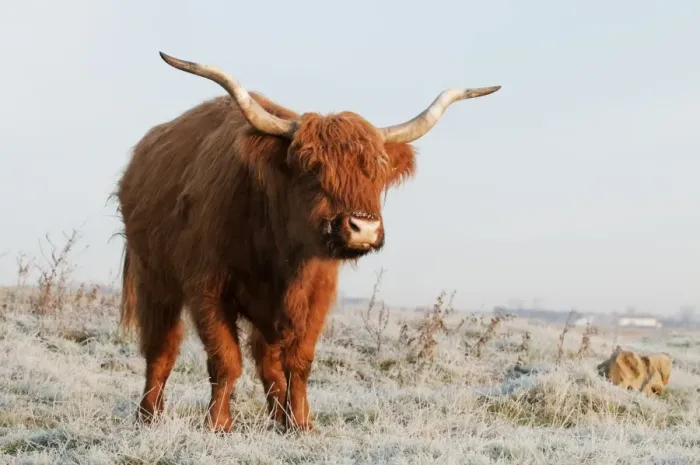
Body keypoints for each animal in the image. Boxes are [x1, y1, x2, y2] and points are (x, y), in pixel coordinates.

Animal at [117, 51, 501, 433]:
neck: (281, 250)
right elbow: (225, 359)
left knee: (266, 359)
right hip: (154, 279)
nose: (363, 228)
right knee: (161, 349)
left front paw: (301, 424)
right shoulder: (207, 288)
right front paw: (218, 424)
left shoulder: (316, 294)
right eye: (312, 167)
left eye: (376, 169)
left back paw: (278, 418)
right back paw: (148, 415)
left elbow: (298, 362)